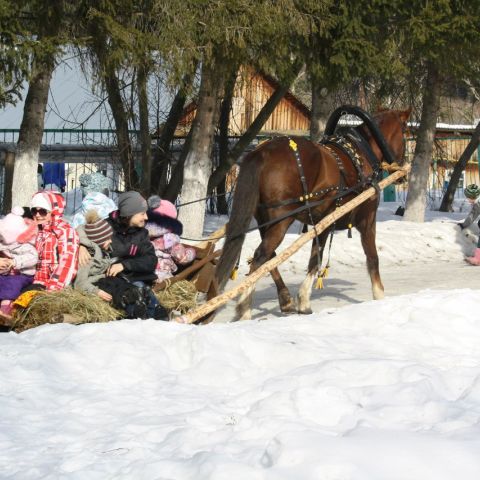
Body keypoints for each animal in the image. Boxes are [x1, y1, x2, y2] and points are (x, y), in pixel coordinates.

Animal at [216, 107, 410, 320]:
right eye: (406, 134)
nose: (403, 168)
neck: (361, 156)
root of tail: (262, 152)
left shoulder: (324, 222)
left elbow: (315, 259)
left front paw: (303, 301)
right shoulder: (367, 220)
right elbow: (372, 257)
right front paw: (379, 295)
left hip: (265, 220)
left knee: (269, 257)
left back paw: (285, 300)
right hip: (281, 220)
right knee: (260, 257)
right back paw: (245, 308)